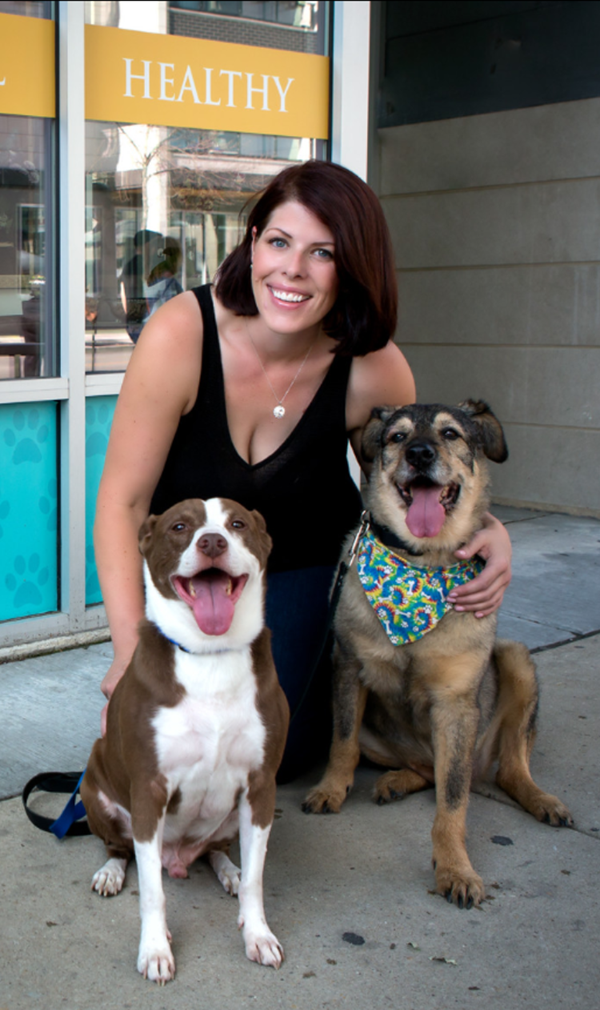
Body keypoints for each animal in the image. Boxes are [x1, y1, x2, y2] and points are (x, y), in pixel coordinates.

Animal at [81, 498, 286, 985]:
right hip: (95, 792)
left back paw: (228, 870)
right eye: (179, 527)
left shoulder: (261, 786)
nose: (212, 542)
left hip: (232, 817)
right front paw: (155, 950)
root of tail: (177, 857)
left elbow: (257, 880)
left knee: (216, 850)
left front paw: (257, 934)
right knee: (123, 850)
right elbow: (152, 893)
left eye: (237, 524)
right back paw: (111, 872)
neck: (210, 656)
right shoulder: (149, 790)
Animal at [303, 399, 569, 909]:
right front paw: (330, 789)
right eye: (397, 436)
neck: (419, 564)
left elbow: (454, 797)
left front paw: (455, 868)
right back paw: (395, 781)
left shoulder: (456, 704)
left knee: (506, 769)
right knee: (424, 768)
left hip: (515, 662)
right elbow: (342, 744)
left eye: (450, 433)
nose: (420, 454)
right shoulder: (348, 666)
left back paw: (542, 799)